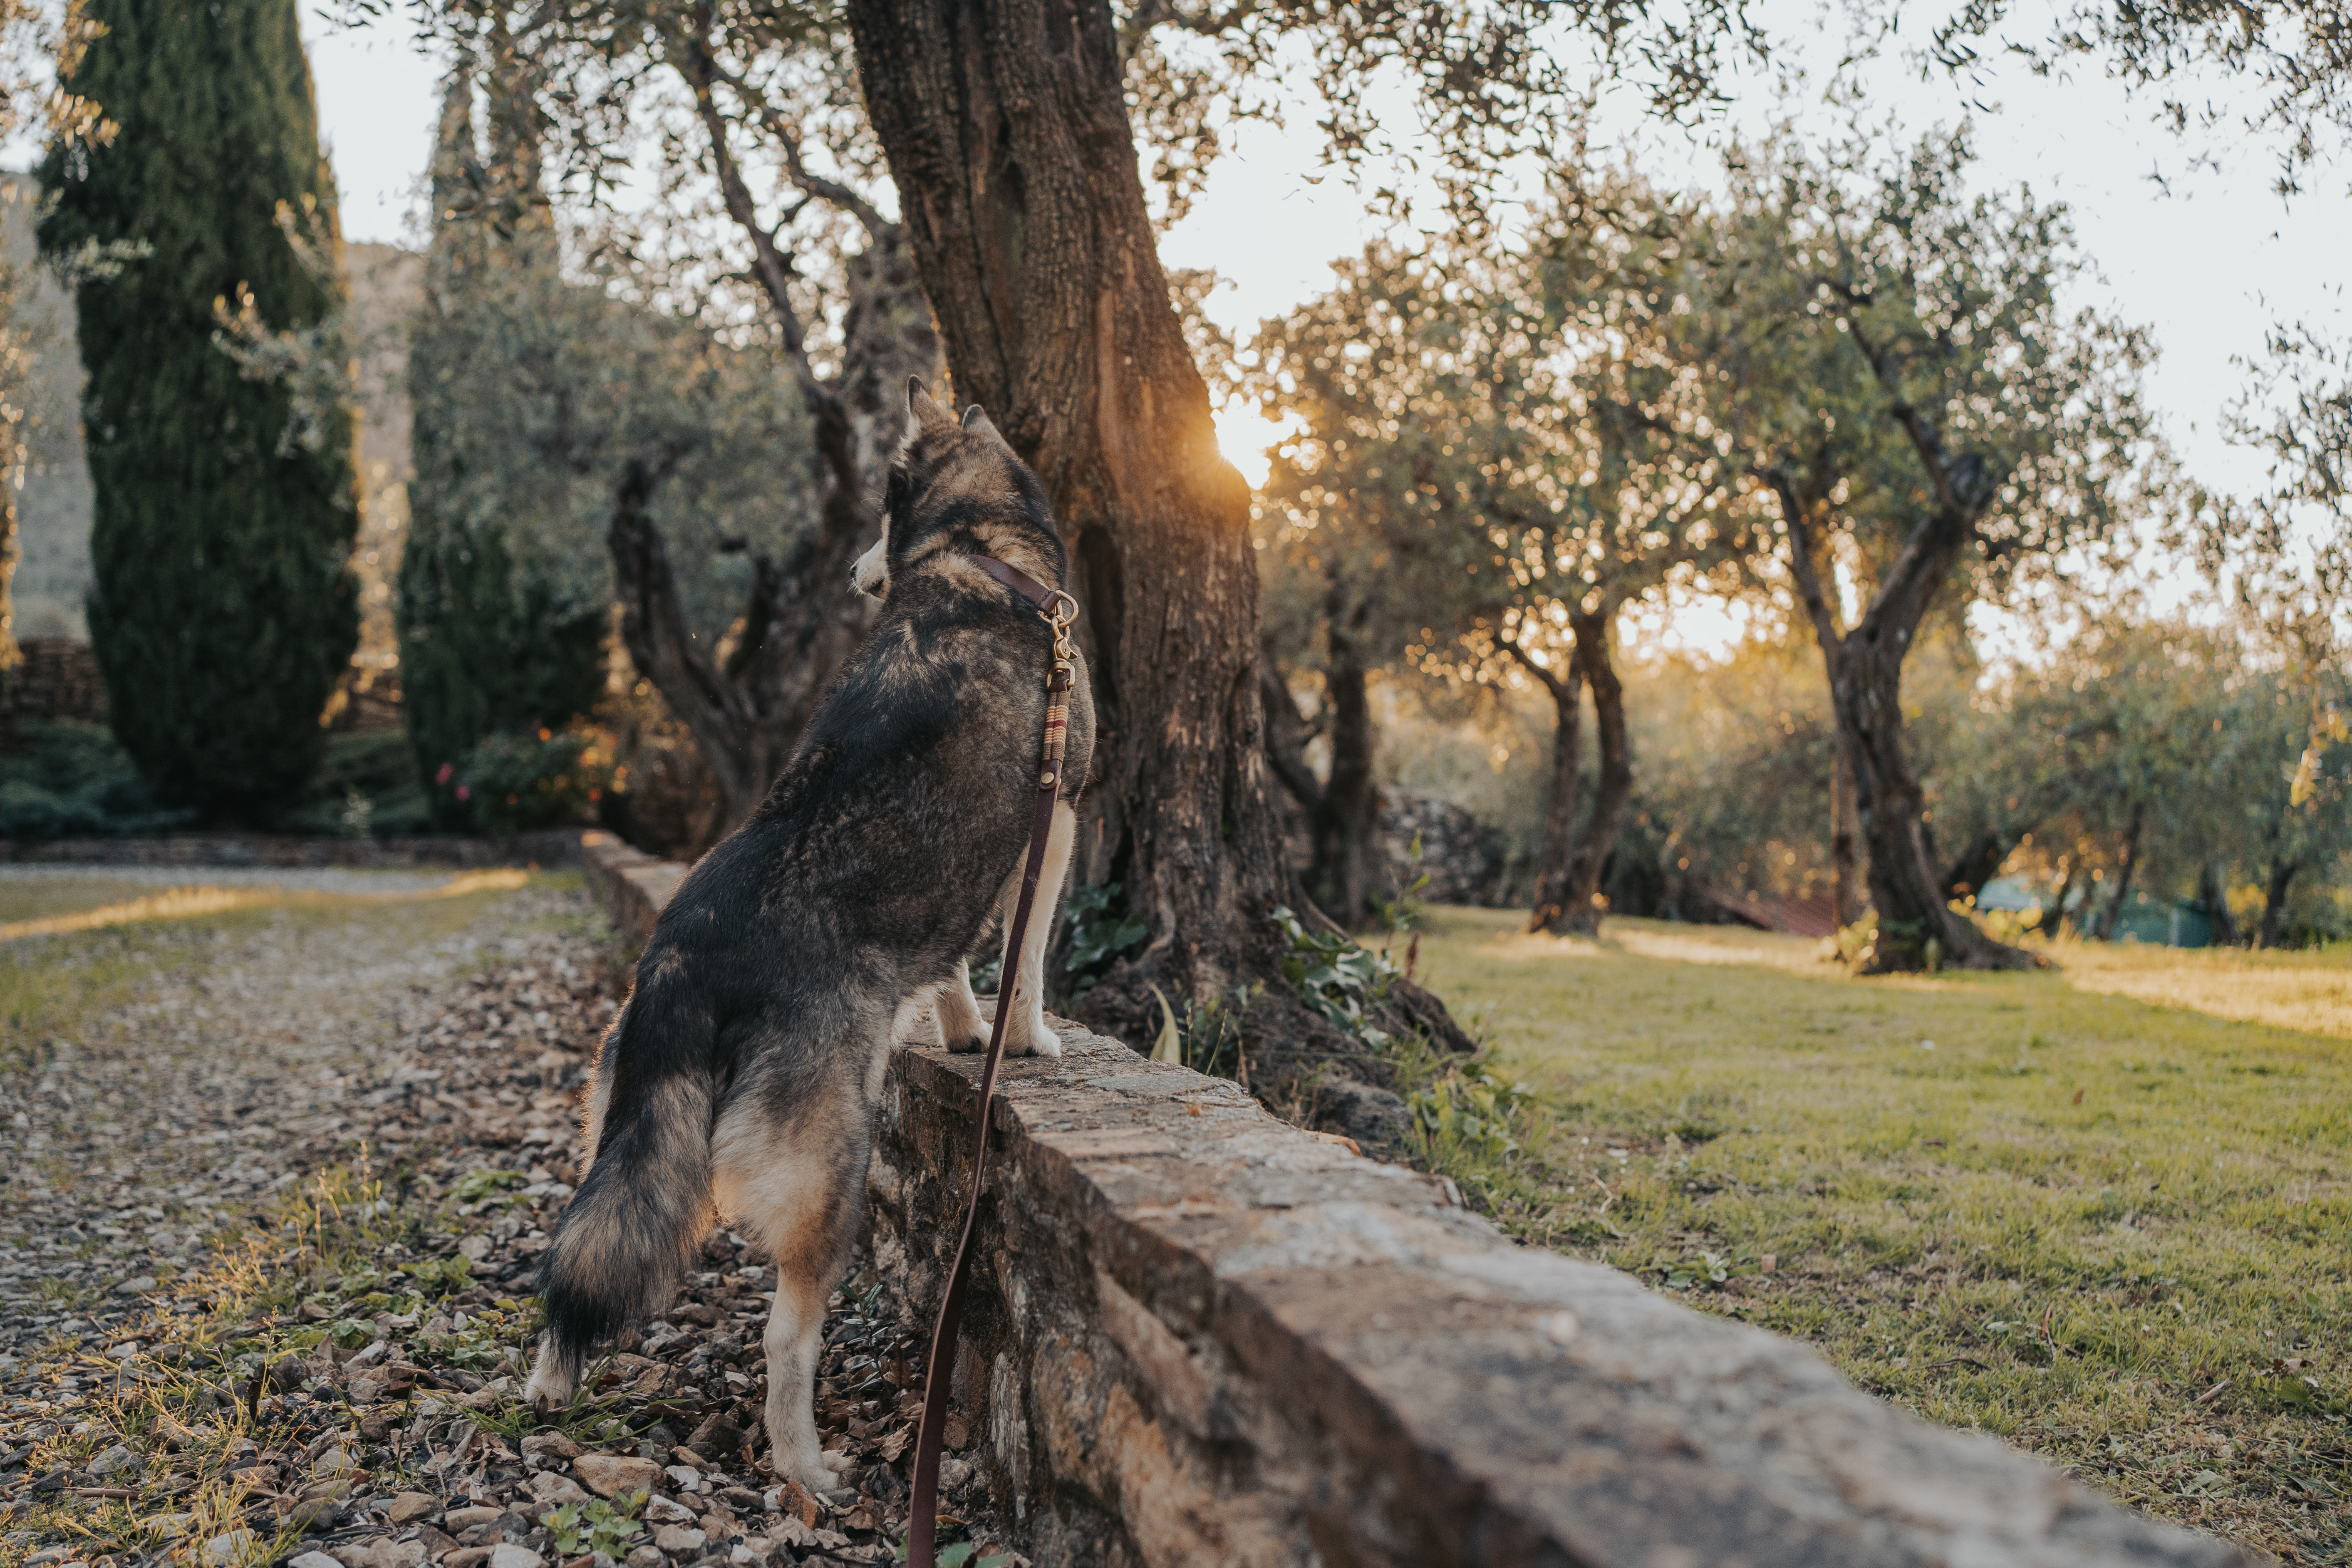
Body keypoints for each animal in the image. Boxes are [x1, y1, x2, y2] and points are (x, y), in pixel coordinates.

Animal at [524, 374, 1091, 1495]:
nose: (859, 573)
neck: (985, 556)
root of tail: (681, 963)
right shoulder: (1054, 828)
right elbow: (1029, 961)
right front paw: (1029, 1041)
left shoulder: (952, 884)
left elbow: (954, 968)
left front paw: (966, 1032)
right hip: (830, 1171)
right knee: (786, 1336)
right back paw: (806, 1467)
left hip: (629, 1134)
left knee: (582, 1245)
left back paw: (549, 1382)